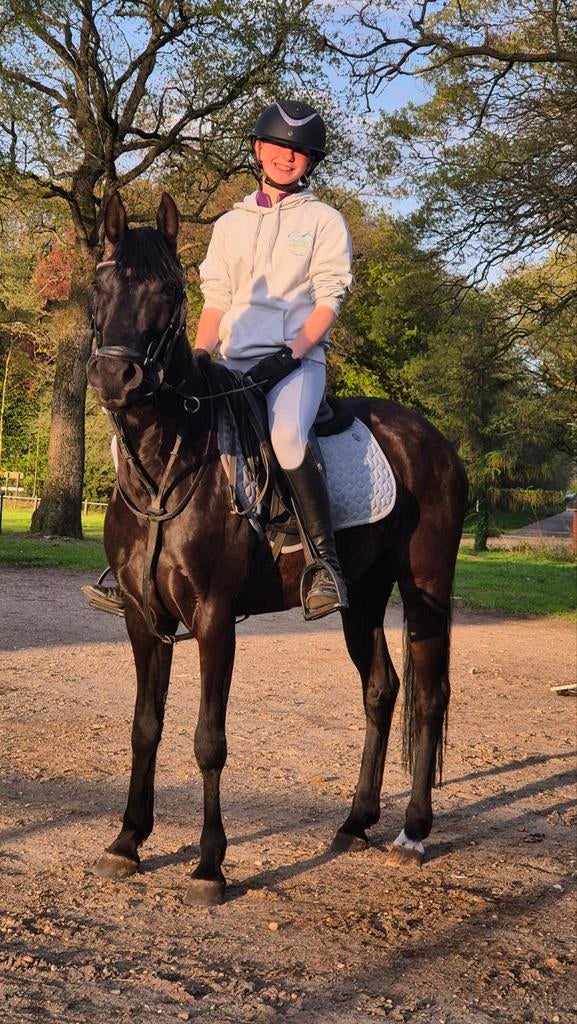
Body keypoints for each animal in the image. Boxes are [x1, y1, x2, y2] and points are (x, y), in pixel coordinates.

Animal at [86, 191, 468, 905]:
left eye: (168, 290)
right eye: (100, 286)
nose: (115, 375)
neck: (170, 462)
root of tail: (431, 438)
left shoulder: (213, 618)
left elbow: (208, 738)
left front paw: (210, 865)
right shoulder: (143, 618)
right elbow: (144, 727)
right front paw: (127, 842)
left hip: (425, 587)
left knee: (428, 694)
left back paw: (412, 832)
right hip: (360, 597)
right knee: (382, 689)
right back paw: (355, 822)